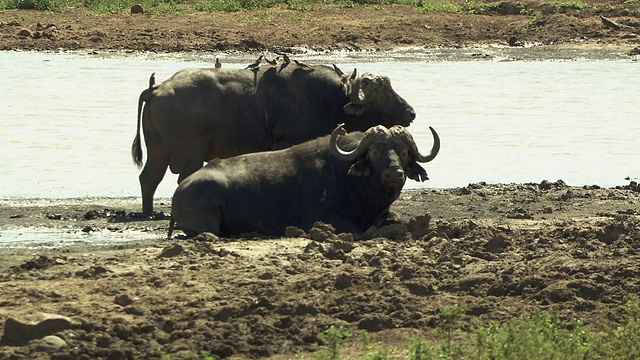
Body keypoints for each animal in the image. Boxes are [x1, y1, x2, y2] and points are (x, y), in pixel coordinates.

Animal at [132, 59, 418, 214]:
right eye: (383, 93)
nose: (411, 112)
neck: (328, 99)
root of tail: (157, 88)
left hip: (158, 149)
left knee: (149, 178)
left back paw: (149, 212)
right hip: (190, 154)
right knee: (178, 178)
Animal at [170, 124, 440, 236]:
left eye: (403, 152)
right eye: (374, 152)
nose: (394, 174)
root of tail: (178, 192)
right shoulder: (319, 218)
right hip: (208, 225)